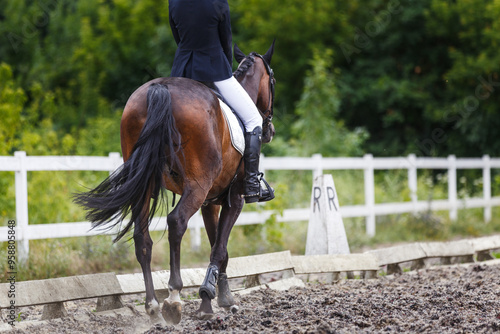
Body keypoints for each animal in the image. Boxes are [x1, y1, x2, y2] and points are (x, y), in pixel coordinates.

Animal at [73, 41, 276, 324]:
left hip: (146, 186)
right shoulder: (233, 199)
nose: (269, 131)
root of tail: (161, 89)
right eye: (273, 80)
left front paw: (219, 298)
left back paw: (153, 308)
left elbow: (217, 246)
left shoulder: (210, 203)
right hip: (196, 187)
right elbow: (220, 248)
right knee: (176, 222)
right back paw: (173, 299)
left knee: (142, 238)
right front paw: (211, 300)